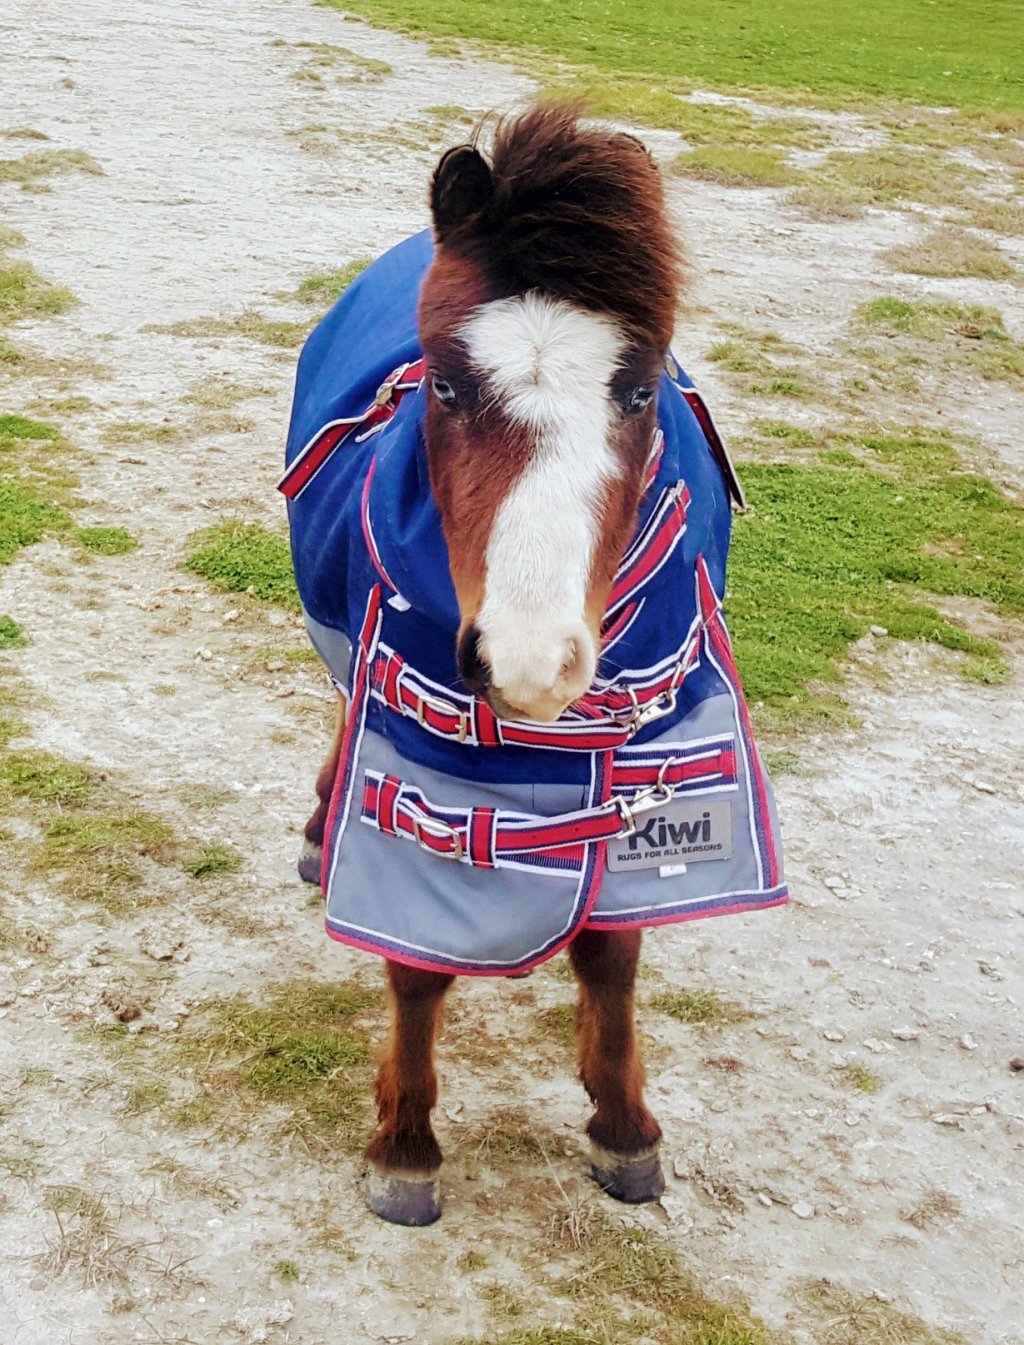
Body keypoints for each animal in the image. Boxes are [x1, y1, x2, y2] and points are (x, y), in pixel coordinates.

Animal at [281, 104, 786, 1226]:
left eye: (640, 388)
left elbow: (612, 948)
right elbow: (416, 962)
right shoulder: (423, 766)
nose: (528, 658)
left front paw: (623, 1126)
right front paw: (406, 1144)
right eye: (448, 382)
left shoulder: (647, 754)